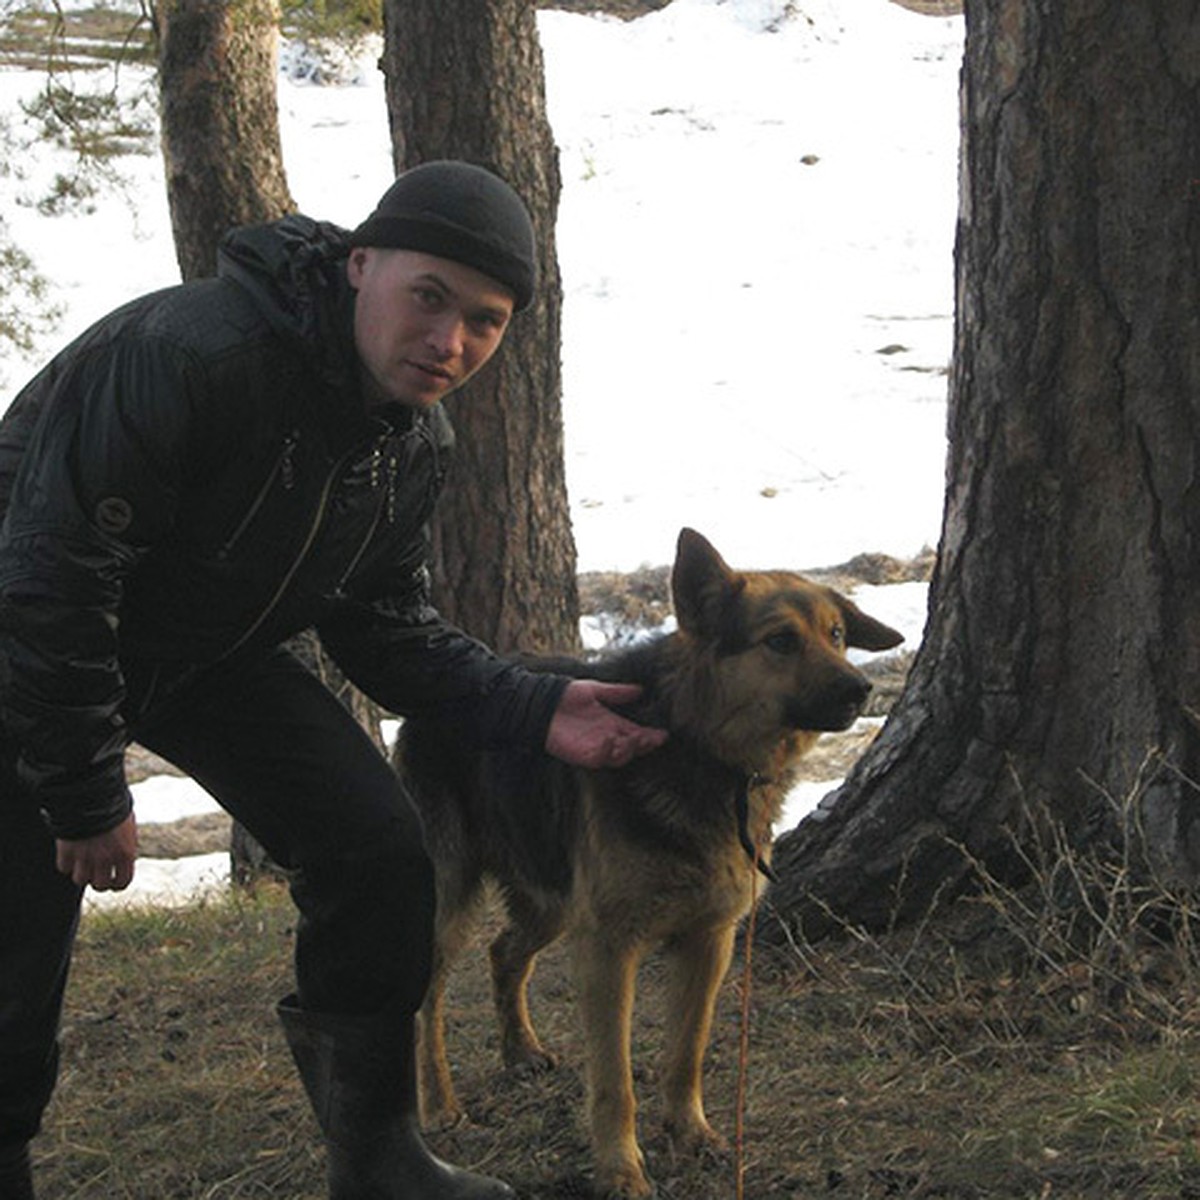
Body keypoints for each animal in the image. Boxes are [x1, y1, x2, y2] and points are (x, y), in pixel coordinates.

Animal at [393, 530, 902, 1195]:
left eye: (837, 634)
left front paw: (691, 1134)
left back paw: (520, 1050)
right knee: (428, 1003)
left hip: (554, 900)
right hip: (452, 905)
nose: (860, 690)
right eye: (780, 641)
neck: (702, 749)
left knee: (504, 952)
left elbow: (685, 1054)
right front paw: (620, 1170)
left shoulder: (709, 941)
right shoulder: (609, 949)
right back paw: (439, 1106)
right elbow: (615, 1081)